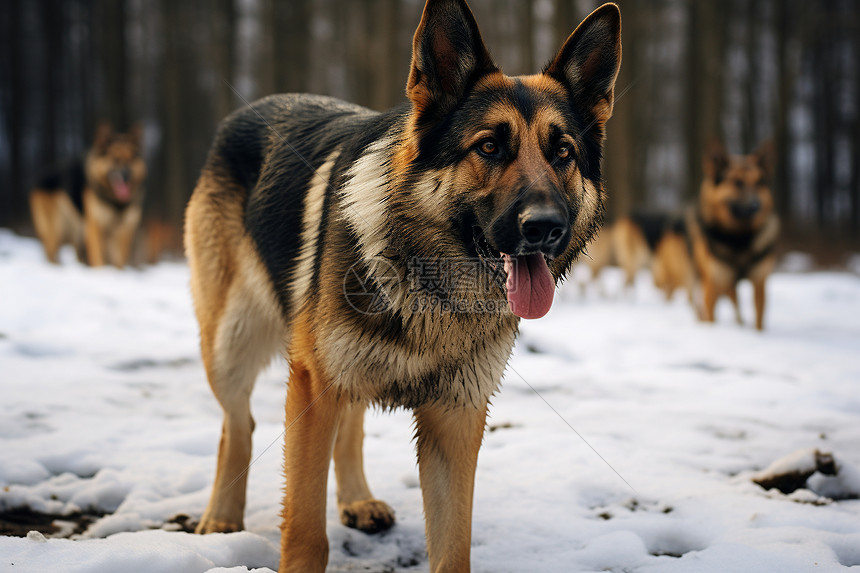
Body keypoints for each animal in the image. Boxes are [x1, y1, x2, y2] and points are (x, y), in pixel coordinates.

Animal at [30, 123, 146, 266]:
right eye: (115, 159)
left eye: (131, 159)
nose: (126, 176)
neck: (115, 201)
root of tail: (39, 176)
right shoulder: (95, 226)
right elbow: (99, 258)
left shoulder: (125, 230)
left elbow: (119, 262)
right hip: (56, 229)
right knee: (52, 254)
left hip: (76, 230)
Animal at [185, 2, 620, 568]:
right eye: (488, 147)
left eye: (563, 152)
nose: (545, 227)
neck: (430, 288)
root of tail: (249, 108)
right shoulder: (312, 389)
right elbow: (305, 530)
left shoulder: (455, 419)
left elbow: (453, 546)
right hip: (231, 345)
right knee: (237, 425)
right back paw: (221, 517)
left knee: (348, 423)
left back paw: (357, 499)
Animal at [684, 139, 780, 330]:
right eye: (737, 182)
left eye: (760, 183)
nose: (755, 205)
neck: (739, 238)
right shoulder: (713, 284)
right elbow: (710, 317)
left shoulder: (759, 281)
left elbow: (759, 320)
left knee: (736, 306)